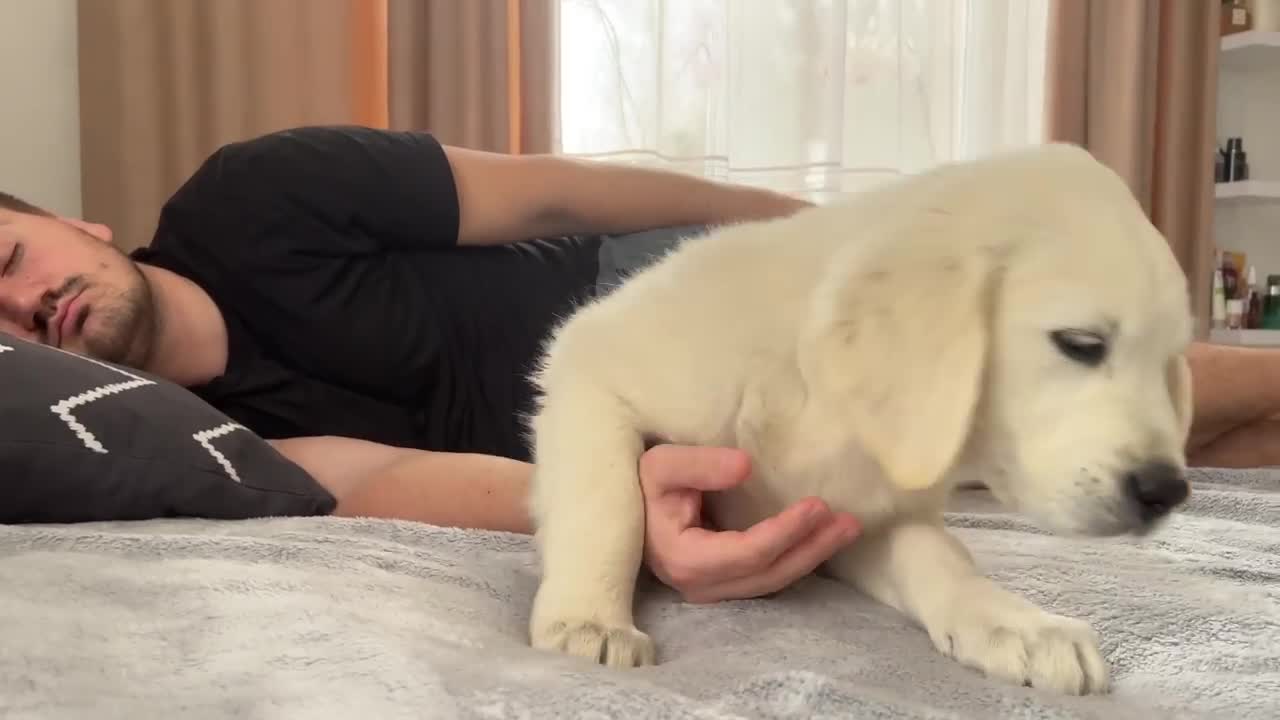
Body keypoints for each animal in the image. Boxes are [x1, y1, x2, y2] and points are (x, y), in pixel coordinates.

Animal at [517, 142, 1187, 691]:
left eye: (1170, 366)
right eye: (1081, 344)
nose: (1167, 492)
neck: (821, 404)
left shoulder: (858, 515)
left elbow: (941, 555)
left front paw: (1018, 623)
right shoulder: (589, 369)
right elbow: (610, 507)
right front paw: (588, 621)